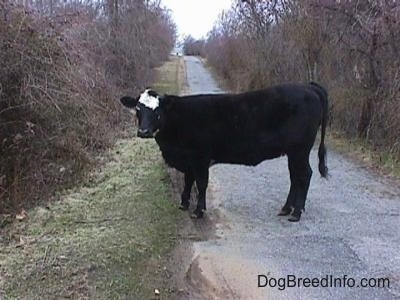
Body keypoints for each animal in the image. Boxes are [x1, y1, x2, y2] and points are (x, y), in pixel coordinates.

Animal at [119, 83, 328, 221]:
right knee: (295, 177)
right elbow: (188, 180)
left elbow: (201, 183)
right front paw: (184, 203)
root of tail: (307, 86)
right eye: (138, 109)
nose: (143, 131)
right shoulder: (188, 159)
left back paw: (296, 213)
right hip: (293, 152)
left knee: (304, 175)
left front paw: (198, 210)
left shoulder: (199, 157)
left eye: (157, 111)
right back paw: (286, 208)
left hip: (300, 150)